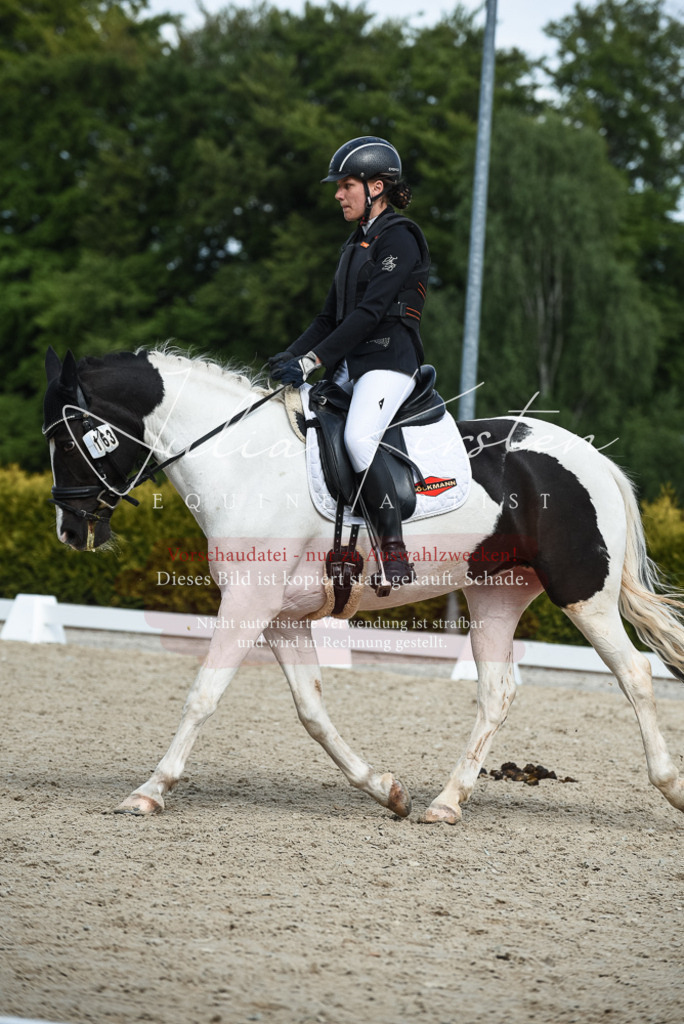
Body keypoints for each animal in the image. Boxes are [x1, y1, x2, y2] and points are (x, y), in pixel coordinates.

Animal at [42, 346, 684, 823]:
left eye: (66, 437)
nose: (71, 530)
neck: (245, 463)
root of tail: (595, 460)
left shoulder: (248, 604)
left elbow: (203, 694)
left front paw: (149, 790)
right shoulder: (282, 618)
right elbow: (311, 710)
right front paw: (385, 790)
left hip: (583, 593)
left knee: (634, 673)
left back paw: (670, 786)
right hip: (495, 596)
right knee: (496, 694)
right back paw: (445, 803)